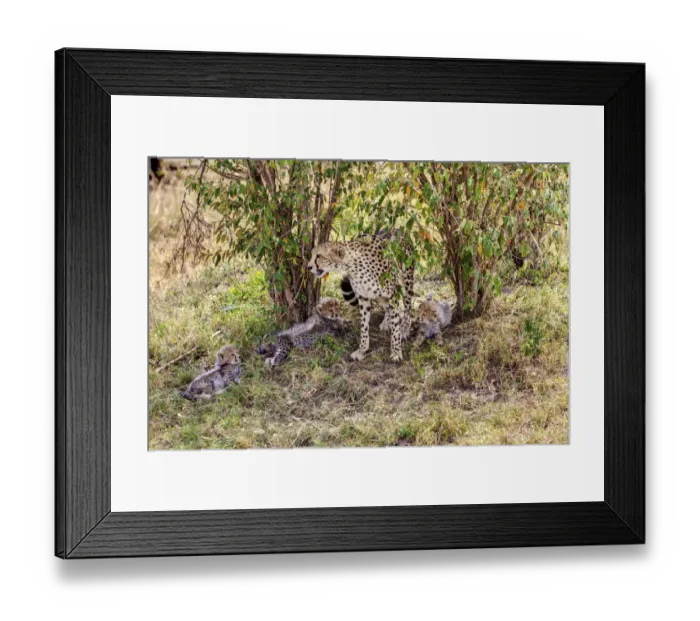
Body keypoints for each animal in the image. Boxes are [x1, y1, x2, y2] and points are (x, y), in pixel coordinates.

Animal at [308, 231, 414, 362]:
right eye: (312, 255)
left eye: (319, 256)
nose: (308, 267)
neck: (352, 265)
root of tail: (398, 229)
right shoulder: (363, 298)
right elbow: (364, 326)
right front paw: (362, 350)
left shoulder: (391, 295)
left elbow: (395, 328)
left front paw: (396, 351)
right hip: (378, 295)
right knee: (387, 307)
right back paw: (386, 322)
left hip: (407, 281)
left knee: (407, 307)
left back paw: (404, 328)